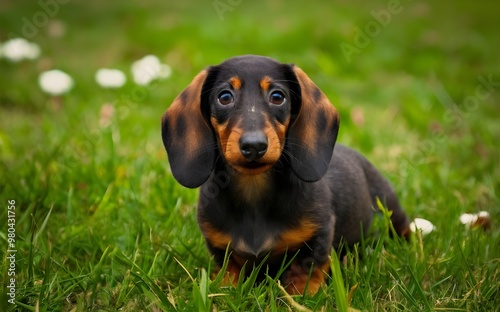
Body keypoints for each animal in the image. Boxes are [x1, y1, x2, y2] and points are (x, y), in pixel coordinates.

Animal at [161, 54, 410, 296]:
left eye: (277, 96)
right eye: (224, 97)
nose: (254, 146)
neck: (253, 193)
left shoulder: (320, 232)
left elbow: (308, 266)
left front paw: (300, 294)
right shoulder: (219, 244)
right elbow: (229, 268)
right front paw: (223, 288)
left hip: (389, 206)